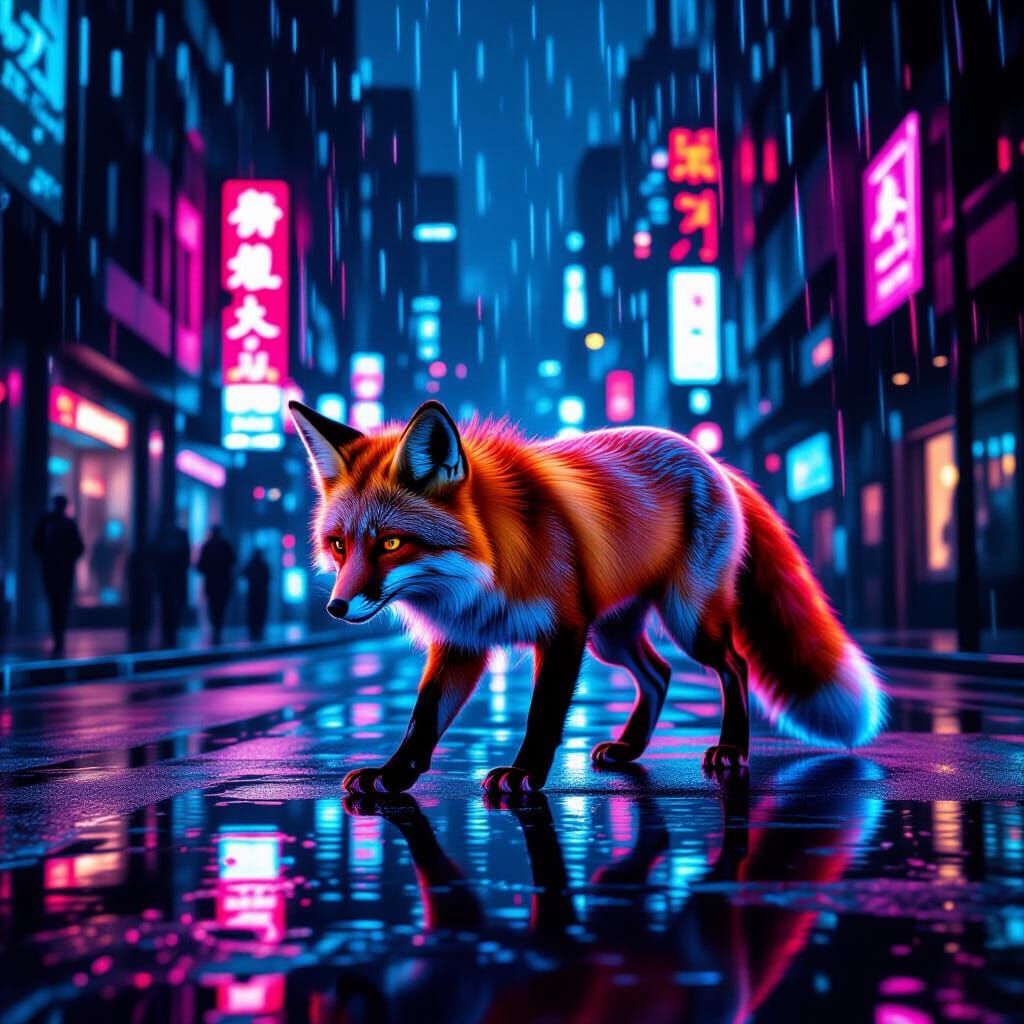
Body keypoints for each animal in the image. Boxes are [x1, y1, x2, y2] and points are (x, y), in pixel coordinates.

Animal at [289, 398, 886, 795]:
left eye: (390, 543)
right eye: (340, 545)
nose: (336, 608)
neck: (483, 572)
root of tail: (711, 459)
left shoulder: (564, 630)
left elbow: (544, 713)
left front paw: (524, 774)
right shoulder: (461, 643)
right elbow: (422, 720)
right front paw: (392, 776)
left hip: (686, 619)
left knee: (734, 664)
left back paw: (733, 749)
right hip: (612, 636)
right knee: (658, 674)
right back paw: (630, 748)